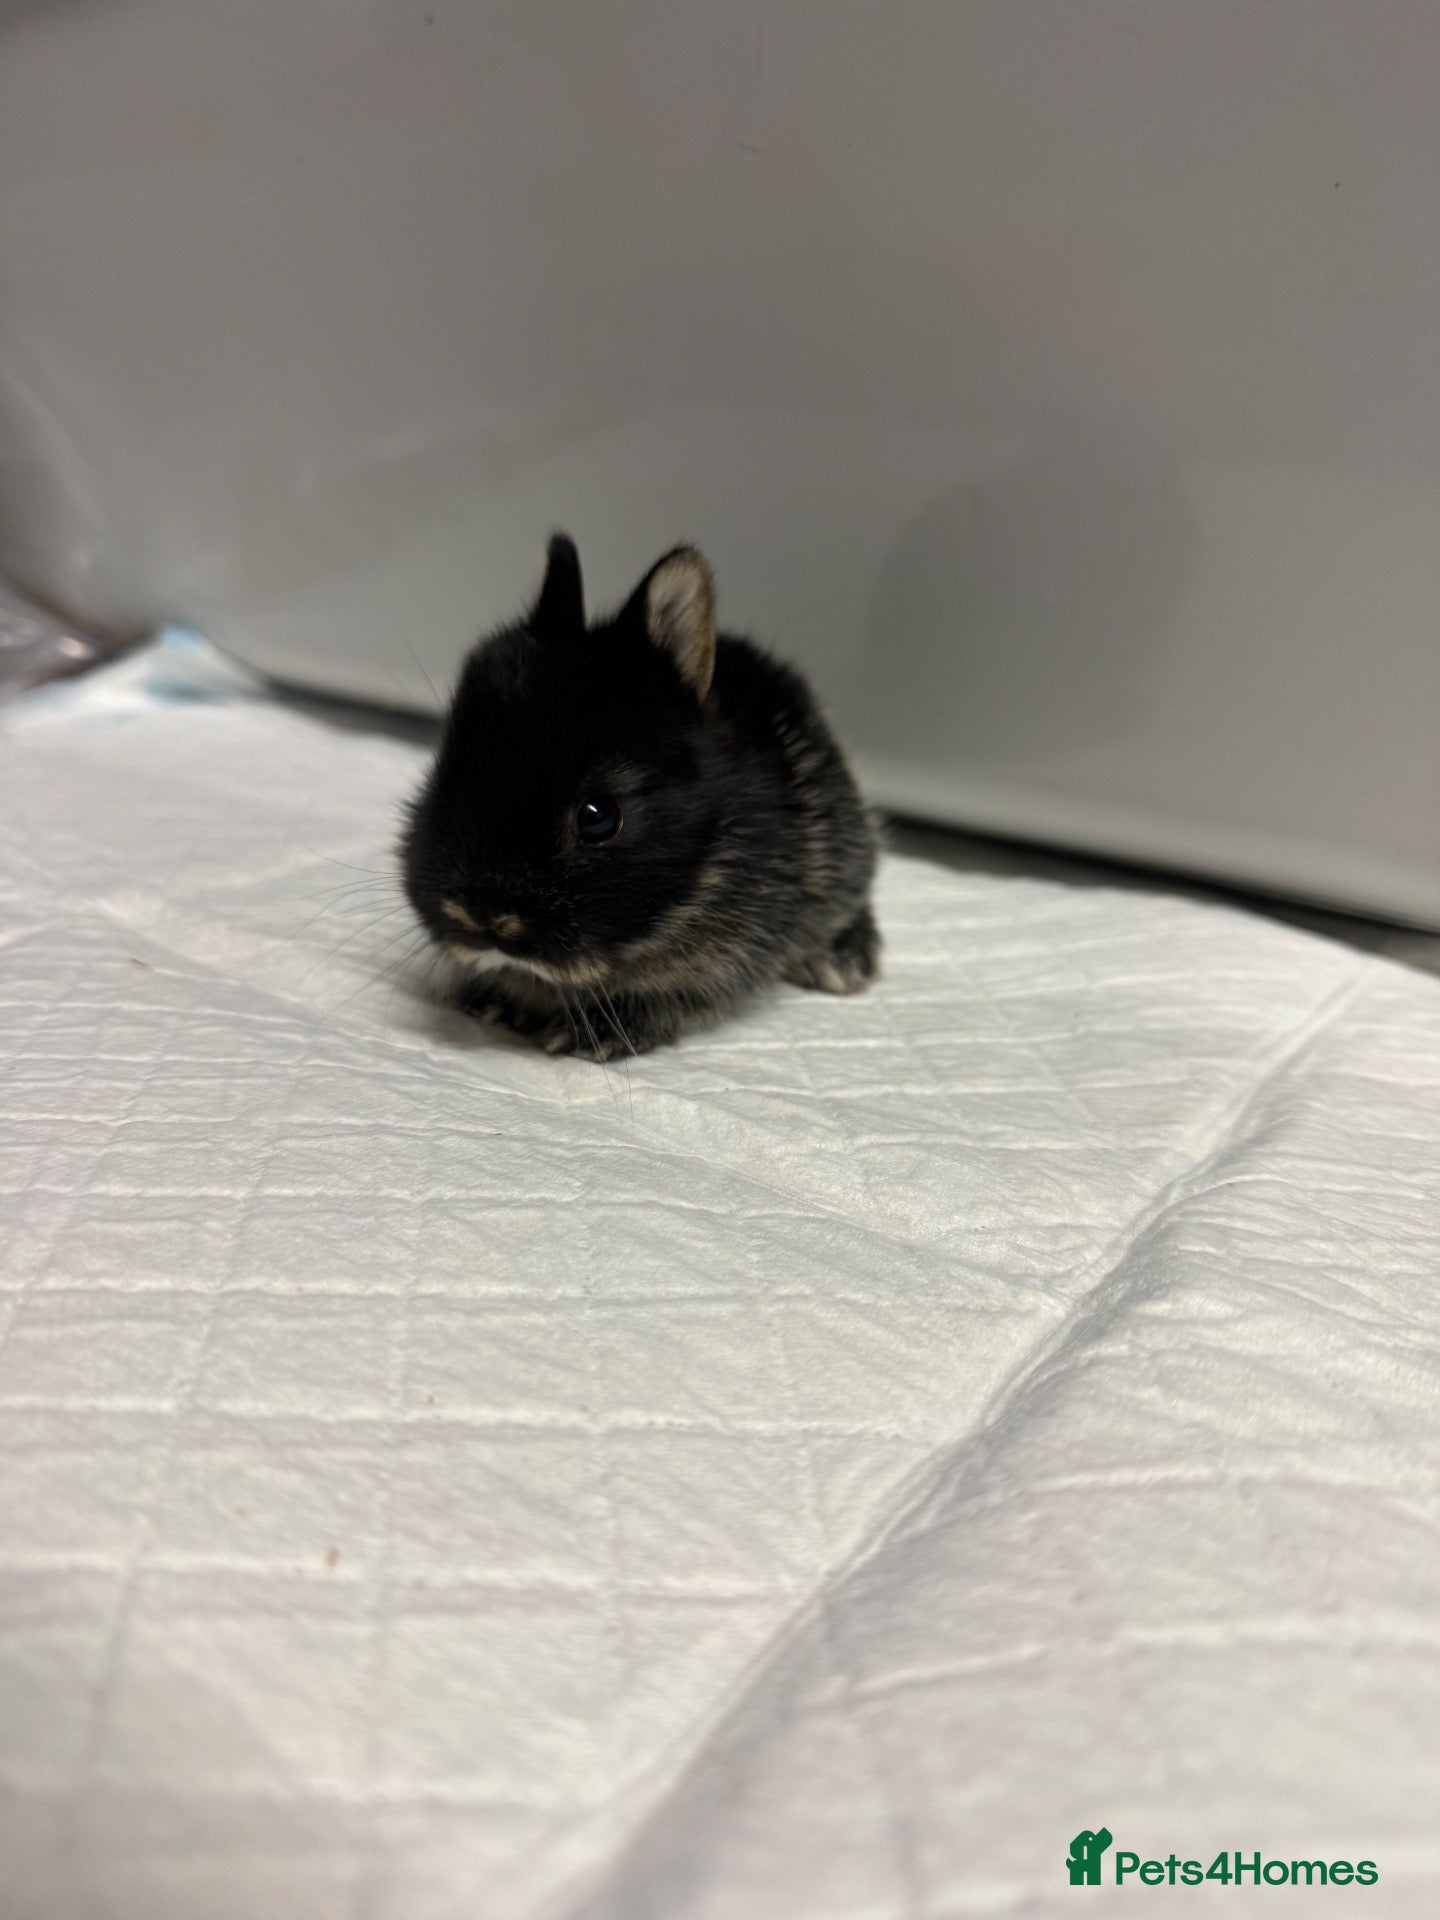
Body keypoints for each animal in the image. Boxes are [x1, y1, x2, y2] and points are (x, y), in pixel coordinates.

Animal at [400, 534, 879, 1059]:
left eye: (599, 817)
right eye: (441, 773)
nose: (482, 918)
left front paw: (593, 1033)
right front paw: (490, 1002)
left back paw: (844, 962)